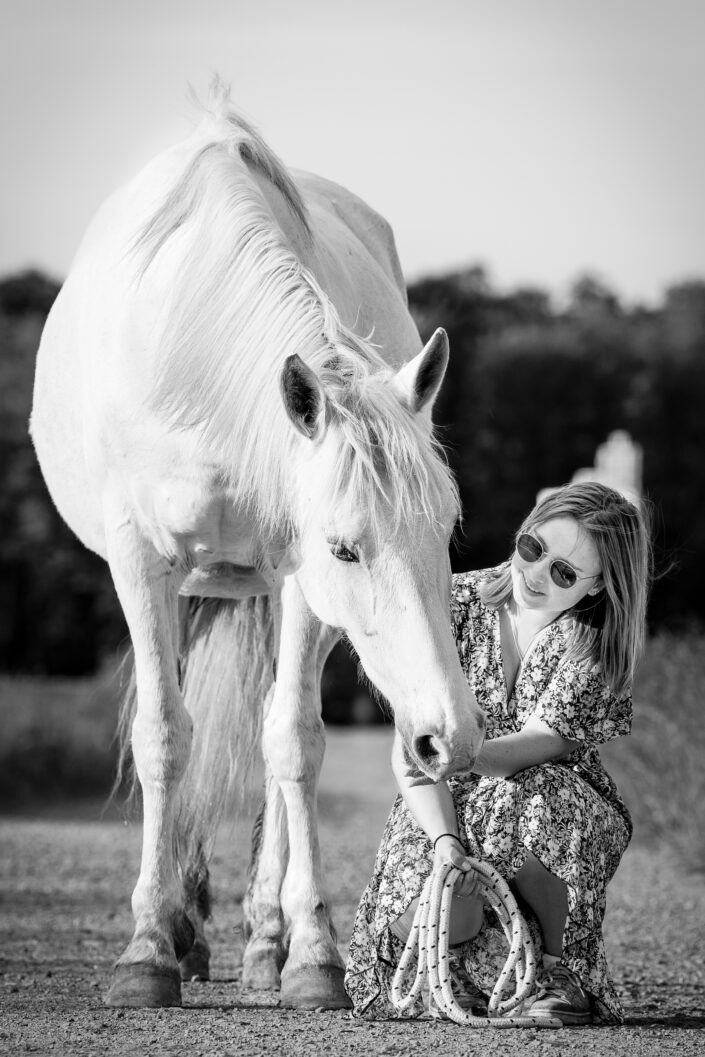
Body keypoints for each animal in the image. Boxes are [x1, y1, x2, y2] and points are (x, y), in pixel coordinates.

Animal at [30, 81, 485, 1011]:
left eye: (443, 536)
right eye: (347, 548)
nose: (447, 738)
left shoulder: (294, 580)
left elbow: (293, 743)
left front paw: (311, 954)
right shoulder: (142, 565)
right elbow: (165, 737)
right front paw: (145, 951)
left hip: (269, 597)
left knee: (276, 743)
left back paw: (264, 944)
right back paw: (183, 931)